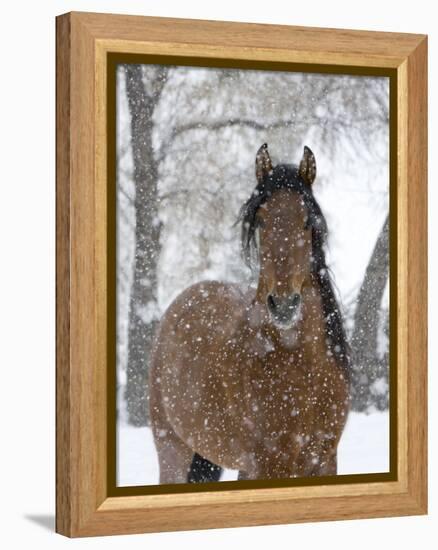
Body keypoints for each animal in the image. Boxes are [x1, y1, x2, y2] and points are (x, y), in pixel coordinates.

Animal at [149, 143, 350, 488]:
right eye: (262, 222)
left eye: (306, 221)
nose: (283, 305)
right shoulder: (265, 465)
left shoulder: (324, 462)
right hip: (173, 449)